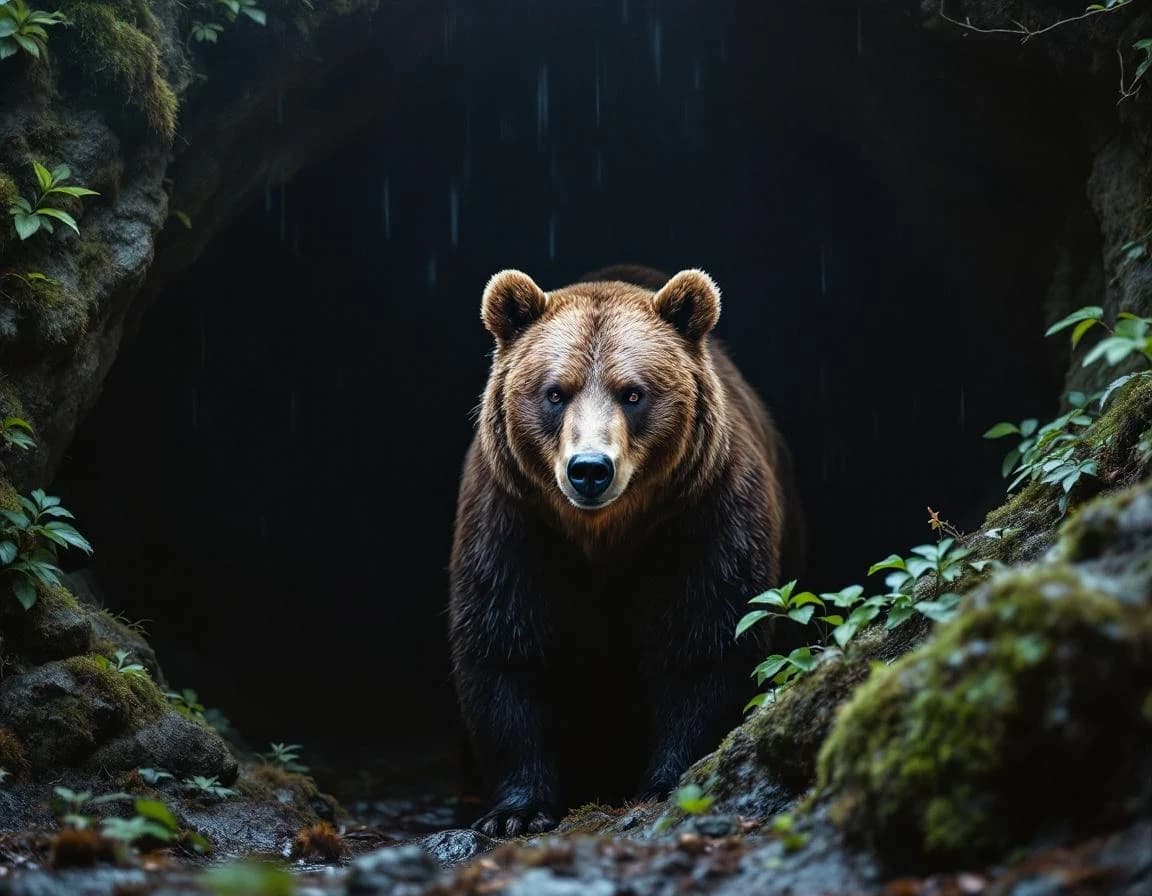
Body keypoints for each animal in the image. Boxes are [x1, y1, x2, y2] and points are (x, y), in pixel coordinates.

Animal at [449, 264, 804, 837]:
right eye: (555, 392)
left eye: (633, 393)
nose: (590, 468)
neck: (604, 534)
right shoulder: (514, 525)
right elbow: (503, 648)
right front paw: (516, 811)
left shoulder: (702, 520)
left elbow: (707, 643)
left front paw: (669, 780)